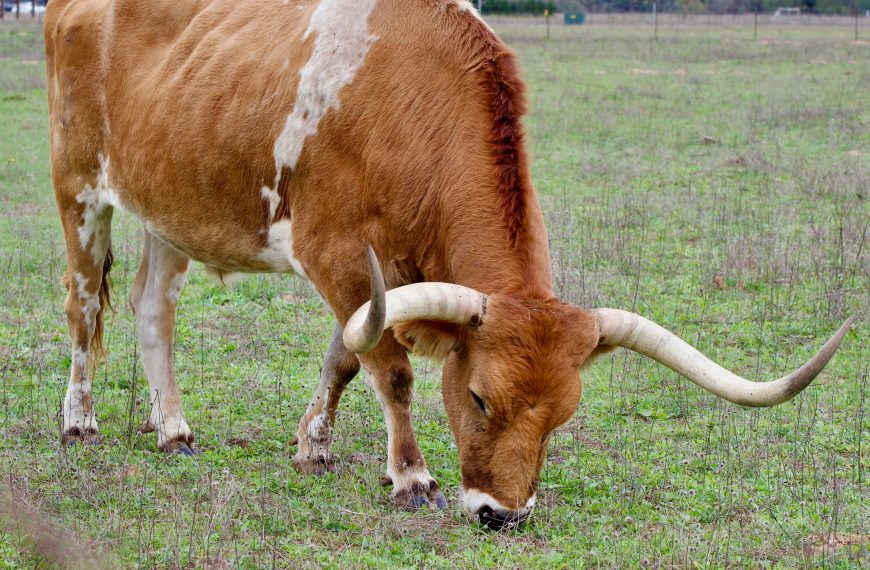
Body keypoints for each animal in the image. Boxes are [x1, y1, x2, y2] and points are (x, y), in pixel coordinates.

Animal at [45, 0, 853, 530]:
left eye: (563, 416)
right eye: (479, 399)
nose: (503, 514)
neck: (410, 101)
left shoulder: (378, 280)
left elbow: (348, 355)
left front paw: (314, 446)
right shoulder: (340, 256)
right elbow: (392, 371)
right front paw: (410, 477)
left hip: (170, 207)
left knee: (153, 310)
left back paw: (173, 428)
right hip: (79, 188)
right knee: (83, 306)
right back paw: (79, 419)